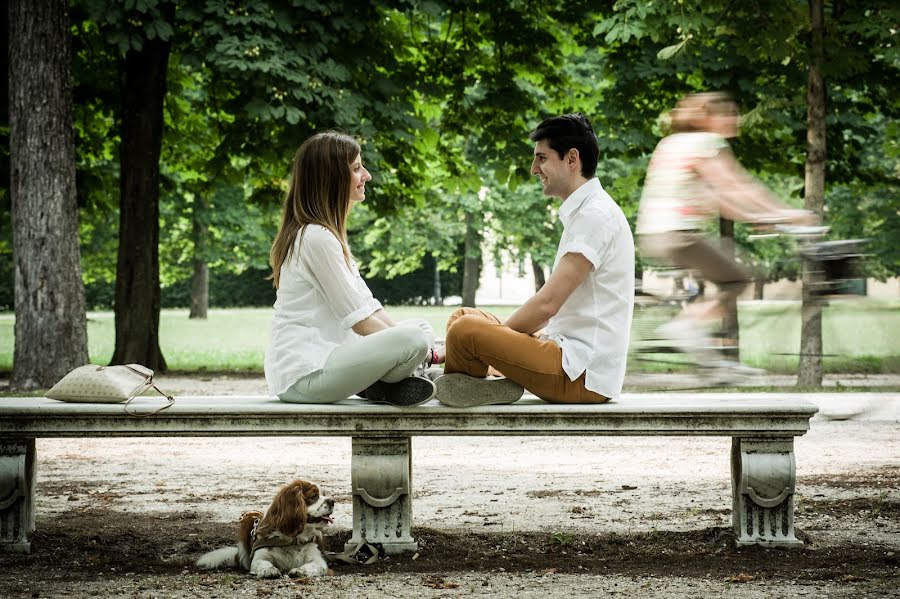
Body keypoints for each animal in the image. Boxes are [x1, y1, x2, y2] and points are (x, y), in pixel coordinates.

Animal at [196, 480, 334, 580]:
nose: (332, 501)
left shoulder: (320, 562)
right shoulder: (258, 558)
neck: (293, 539)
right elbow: (263, 563)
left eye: (324, 495)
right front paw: (270, 570)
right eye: (314, 496)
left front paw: (300, 570)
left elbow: (314, 566)